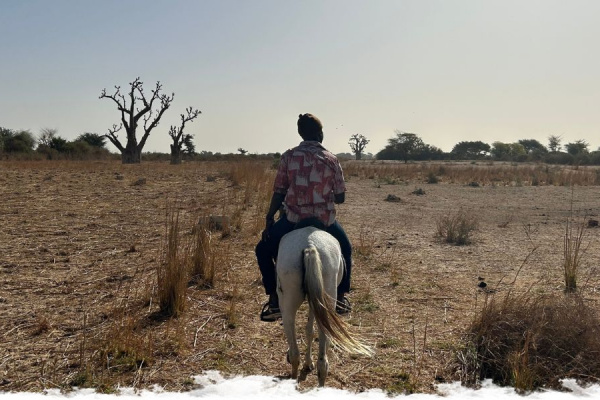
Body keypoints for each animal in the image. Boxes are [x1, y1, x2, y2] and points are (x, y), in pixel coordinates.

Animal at [276, 227, 370, 386]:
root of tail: (310, 246)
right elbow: (310, 330)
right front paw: (309, 363)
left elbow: (309, 330)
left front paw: (308, 363)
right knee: (321, 361)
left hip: (288, 307)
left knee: (296, 354)